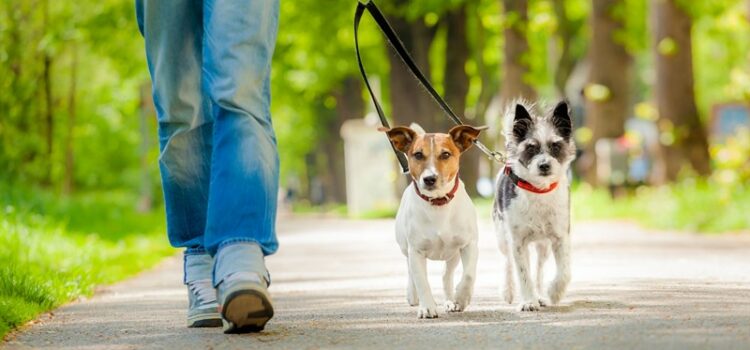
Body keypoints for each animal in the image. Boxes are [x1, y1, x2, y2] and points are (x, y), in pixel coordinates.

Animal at [382, 124, 488, 318]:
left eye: (445, 154)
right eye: (418, 155)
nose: (429, 178)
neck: (439, 204)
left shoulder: (469, 245)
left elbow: (469, 275)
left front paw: (461, 298)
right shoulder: (416, 251)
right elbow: (422, 281)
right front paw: (427, 307)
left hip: (453, 254)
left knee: (446, 275)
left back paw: (450, 300)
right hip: (405, 248)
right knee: (410, 270)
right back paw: (412, 295)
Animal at [496, 100, 580, 312]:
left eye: (556, 146)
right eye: (531, 148)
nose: (544, 165)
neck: (538, 190)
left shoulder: (560, 237)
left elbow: (565, 272)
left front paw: (554, 293)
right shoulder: (517, 241)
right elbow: (523, 273)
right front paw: (527, 301)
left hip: (543, 246)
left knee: (539, 269)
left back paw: (541, 294)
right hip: (503, 237)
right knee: (508, 262)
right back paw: (509, 291)